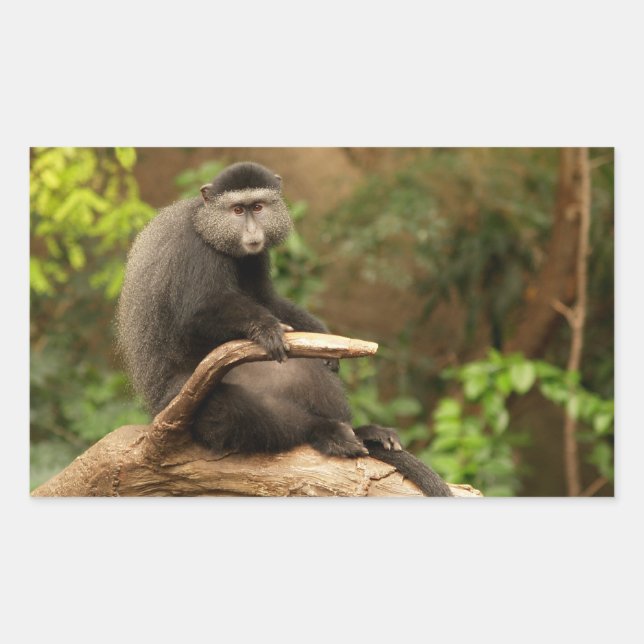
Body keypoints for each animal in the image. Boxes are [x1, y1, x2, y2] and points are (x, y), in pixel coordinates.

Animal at [116, 161, 451, 496]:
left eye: (258, 207)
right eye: (237, 210)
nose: (252, 231)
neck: (206, 225)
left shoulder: (254, 257)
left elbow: (266, 299)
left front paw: (323, 339)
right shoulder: (195, 252)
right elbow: (196, 315)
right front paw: (264, 328)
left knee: (306, 370)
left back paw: (362, 431)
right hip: (183, 401)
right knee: (233, 411)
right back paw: (324, 432)